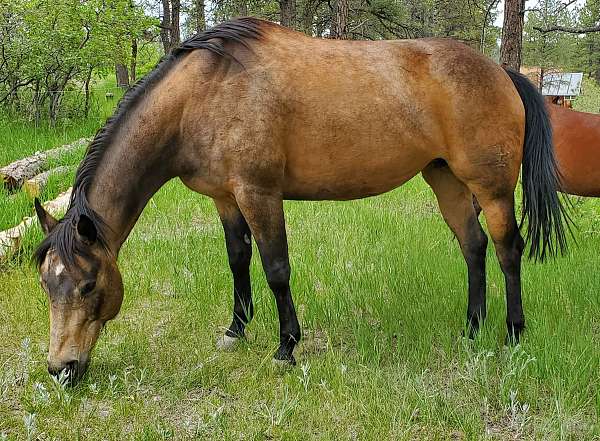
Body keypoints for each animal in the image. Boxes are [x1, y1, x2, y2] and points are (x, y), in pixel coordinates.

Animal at [30, 17, 568, 382]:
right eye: (46, 286)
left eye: (88, 285)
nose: (62, 368)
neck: (203, 93)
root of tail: (502, 72)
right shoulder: (226, 198)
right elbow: (238, 258)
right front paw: (236, 329)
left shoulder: (259, 193)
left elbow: (275, 268)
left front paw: (286, 347)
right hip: (447, 182)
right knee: (473, 247)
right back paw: (471, 329)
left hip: (491, 189)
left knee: (508, 250)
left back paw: (512, 332)